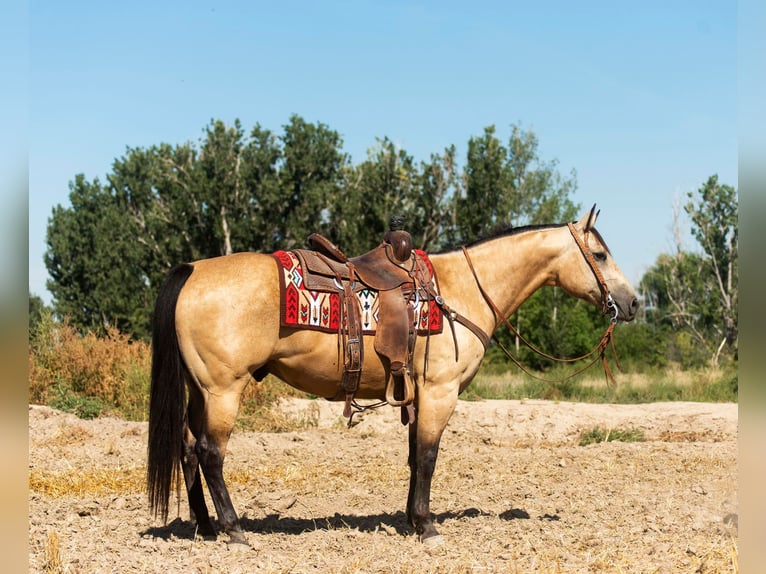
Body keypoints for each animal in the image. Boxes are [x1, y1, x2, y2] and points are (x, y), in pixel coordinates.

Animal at [147, 207, 640, 548]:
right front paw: (428, 526)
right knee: (210, 453)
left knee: (188, 450)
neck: (460, 290)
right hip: (223, 390)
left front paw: (410, 519)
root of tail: (192, 270)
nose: (633, 303)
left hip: (200, 390)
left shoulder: (417, 395)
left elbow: (412, 458)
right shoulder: (440, 392)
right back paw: (233, 531)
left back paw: (206, 527)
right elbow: (427, 457)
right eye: (599, 254)